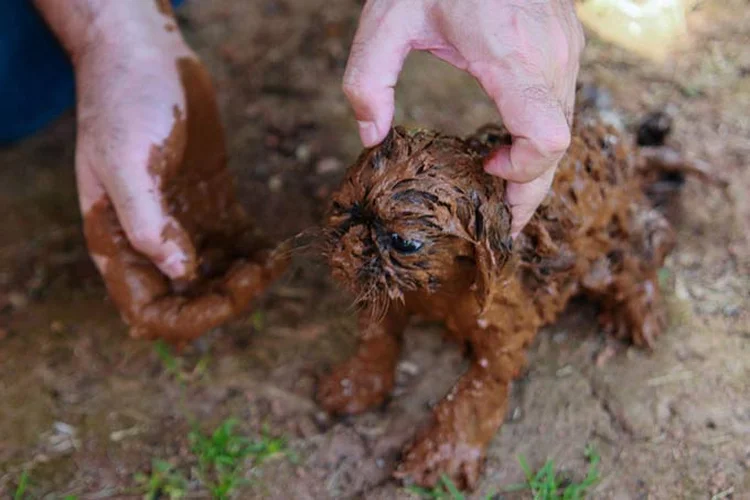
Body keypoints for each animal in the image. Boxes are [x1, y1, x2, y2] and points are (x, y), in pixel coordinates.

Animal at [316, 110, 716, 488]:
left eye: (404, 242)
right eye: (341, 208)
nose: (349, 247)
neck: (440, 291)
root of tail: (628, 151)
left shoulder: (502, 335)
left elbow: (473, 396)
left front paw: (441, 457)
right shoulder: (393, 299)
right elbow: (376, 337)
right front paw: (355, 384)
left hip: (607, 252)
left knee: (651, 244)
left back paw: (637, 312)